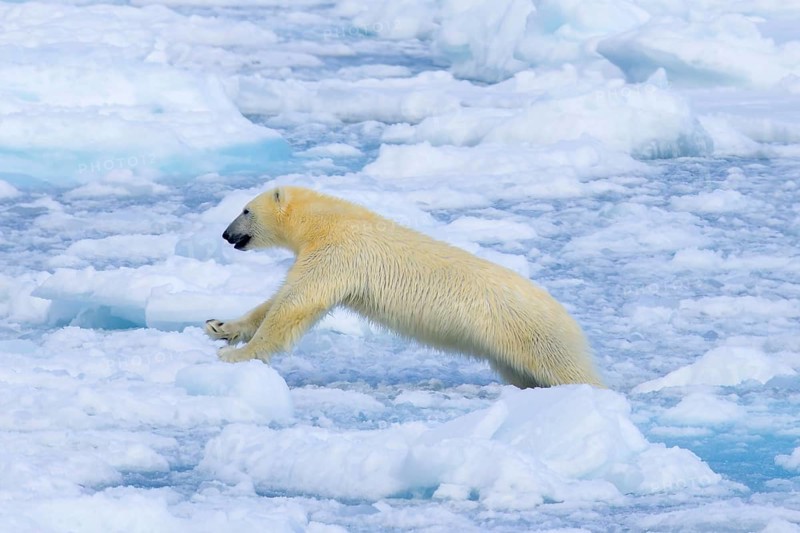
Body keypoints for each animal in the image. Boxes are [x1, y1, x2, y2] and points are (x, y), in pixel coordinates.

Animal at [204, 186, 604, 388]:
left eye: (244, 210)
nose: (225, 234)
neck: (326, 220)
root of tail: (569, 317)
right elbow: (278, 300)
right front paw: (219, 327)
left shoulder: (339, 251)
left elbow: (296, 303)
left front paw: (235, 356)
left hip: (537, 335)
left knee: (569, 372)